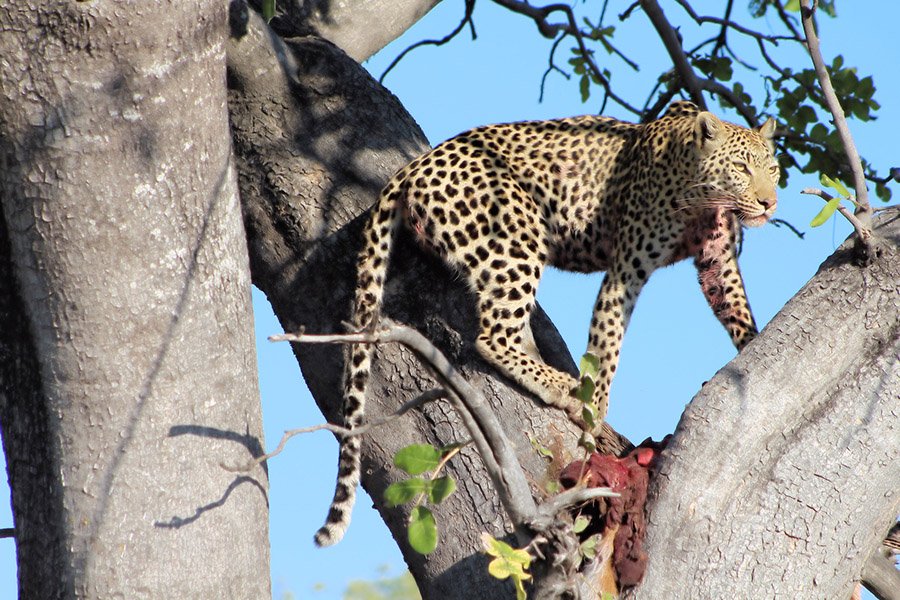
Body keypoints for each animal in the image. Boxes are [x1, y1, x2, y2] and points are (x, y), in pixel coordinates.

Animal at [312, 101, 776, 548]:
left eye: (772, 169)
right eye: (742, 168)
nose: (770, 203)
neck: (700, 193)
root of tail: (413, 166)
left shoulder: (717, 261)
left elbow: (736, 310)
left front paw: (752, 343)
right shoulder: (625, 270)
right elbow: (607, 345)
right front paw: (593, 410)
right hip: (518, 235)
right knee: (491, 337)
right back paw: (561, 385)